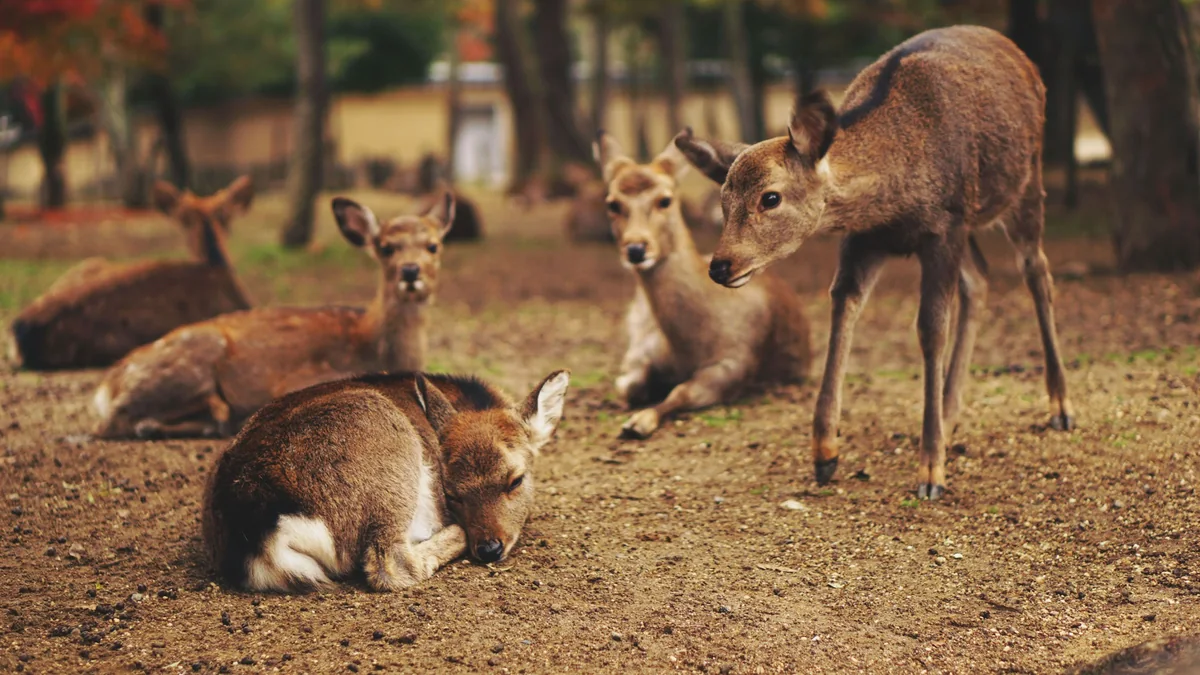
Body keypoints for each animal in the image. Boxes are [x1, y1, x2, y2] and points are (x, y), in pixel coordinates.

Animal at [92, 192, 457, 439]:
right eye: (385, 247)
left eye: (434, 245)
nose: (410, 271)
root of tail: (106, 386)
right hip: (188, 364)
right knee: (113, 422)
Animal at [203, 369, 570, 592]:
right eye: (452, 494)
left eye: (515, 480)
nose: (489, 548)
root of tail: (257, 535)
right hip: (388, 454)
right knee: (389, 563)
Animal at [594, 133, 812, 439]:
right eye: (612, 203)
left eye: (665, 199)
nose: (636, 249)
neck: (686, 346)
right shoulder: (642, 349)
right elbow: (629, 385)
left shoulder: (734, 362)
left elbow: (681, 392)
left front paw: (638, 422)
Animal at [674, 25, 1074, 499]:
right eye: (723, 200)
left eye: (770, 197)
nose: (721, 265)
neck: (892, 199)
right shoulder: (865, 238)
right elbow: (843, 307)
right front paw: (824, 453)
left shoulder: (944, 226)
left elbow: (930, 329)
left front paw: (930, 471)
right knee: (980, 277)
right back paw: (950, 412)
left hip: (1025, 183)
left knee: (1037, 271)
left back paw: (1061, 407)